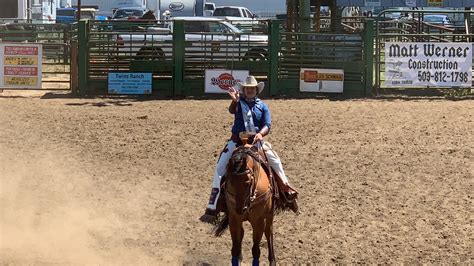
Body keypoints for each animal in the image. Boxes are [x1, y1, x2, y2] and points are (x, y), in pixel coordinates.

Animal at [212, 136, 278, 264]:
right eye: (229, 181)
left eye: (247, 183)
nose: (240, 209)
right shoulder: (234, 218)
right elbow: (235, 248)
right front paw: (237, 258)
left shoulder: (258, 221)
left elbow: (256, 250)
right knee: (242, 234)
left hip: (269, 214)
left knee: (269, 232)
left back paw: (272, 260)